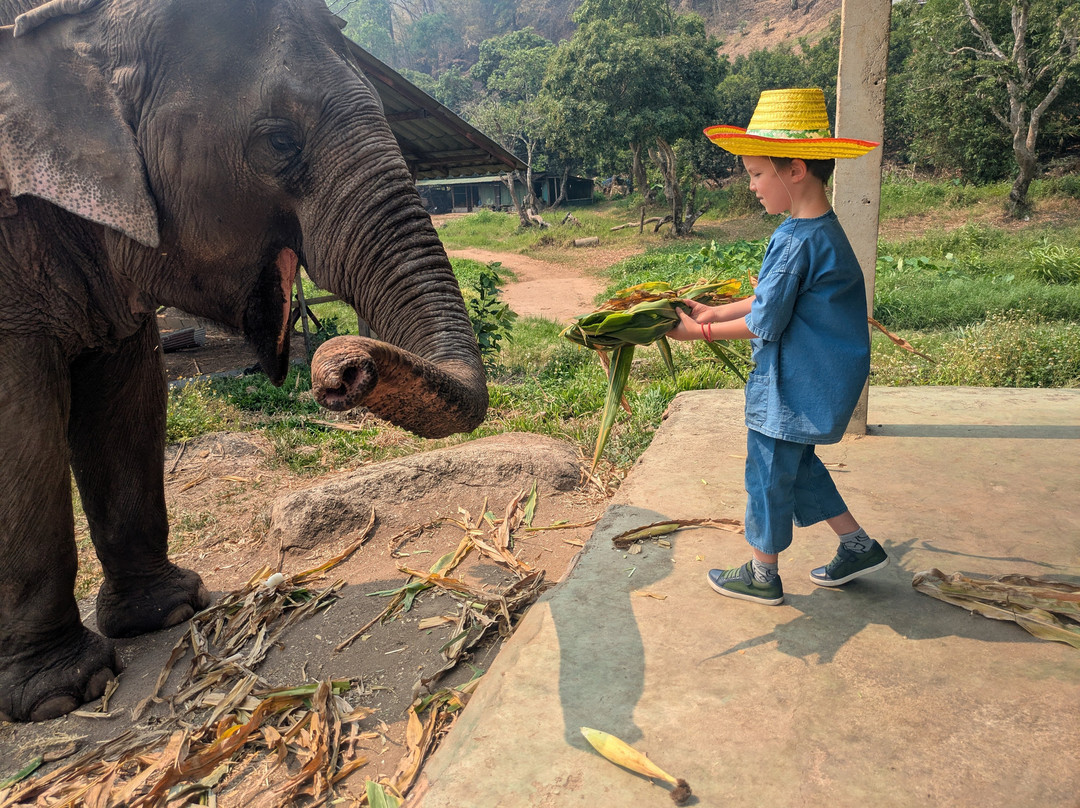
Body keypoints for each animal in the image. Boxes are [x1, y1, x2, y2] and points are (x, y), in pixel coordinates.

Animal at [0, 0, 488, 722]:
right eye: (279, 141)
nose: (338, 368)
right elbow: (20, 419)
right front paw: (66, 693)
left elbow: (130, 398)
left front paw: (171, 612)